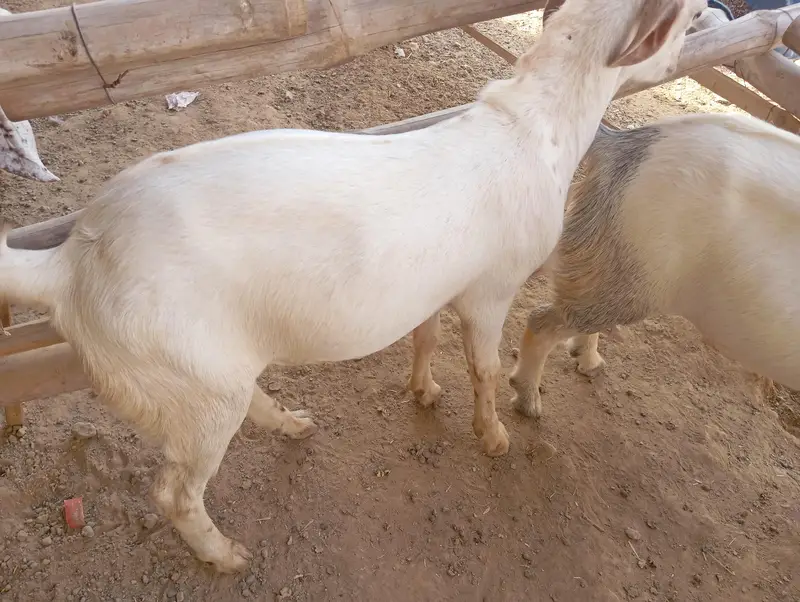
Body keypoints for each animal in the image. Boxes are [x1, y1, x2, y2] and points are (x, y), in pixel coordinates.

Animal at [0, 0, 704, 573]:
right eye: (686, 21)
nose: (695, 31)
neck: (537, 127)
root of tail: (70, 262)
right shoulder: (491, 287)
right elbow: (482, 366)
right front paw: (495, 436)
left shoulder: (433, 283)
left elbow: (425, 339)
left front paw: (424, 392)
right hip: (178, 369)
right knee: (175, 491)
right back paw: (226, 556)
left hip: (202, 372)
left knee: (241, 403)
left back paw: (295, 426)